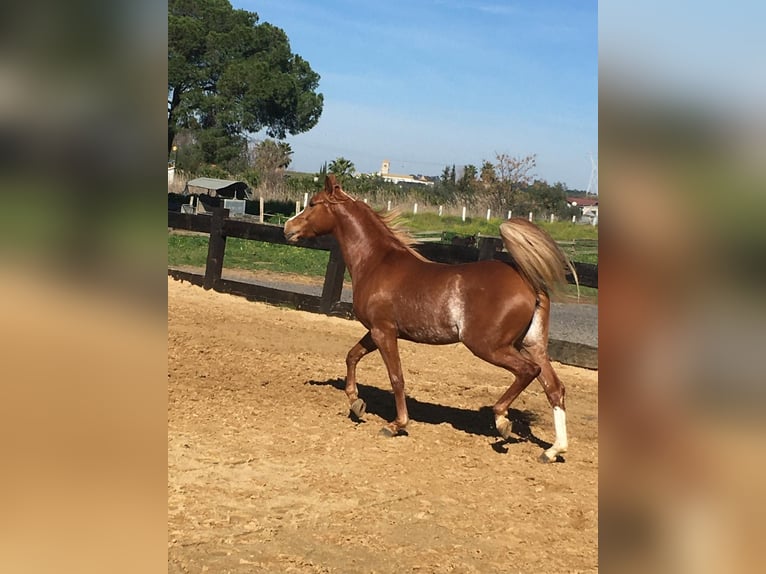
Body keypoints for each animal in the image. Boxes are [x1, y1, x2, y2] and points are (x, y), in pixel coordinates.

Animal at [286, 176, 576, 464]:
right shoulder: (376, 331)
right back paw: (552, 451)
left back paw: (502, 420)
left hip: (489, 346)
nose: (288, 228)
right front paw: (356, 403)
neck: (376, 262)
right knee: (555, 388)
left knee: (528, 371)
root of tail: (529, 283)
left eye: (312, 204)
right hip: (531, 345)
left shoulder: (383, 332)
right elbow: (352, 355)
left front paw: (396, 424)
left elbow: (396, 377)